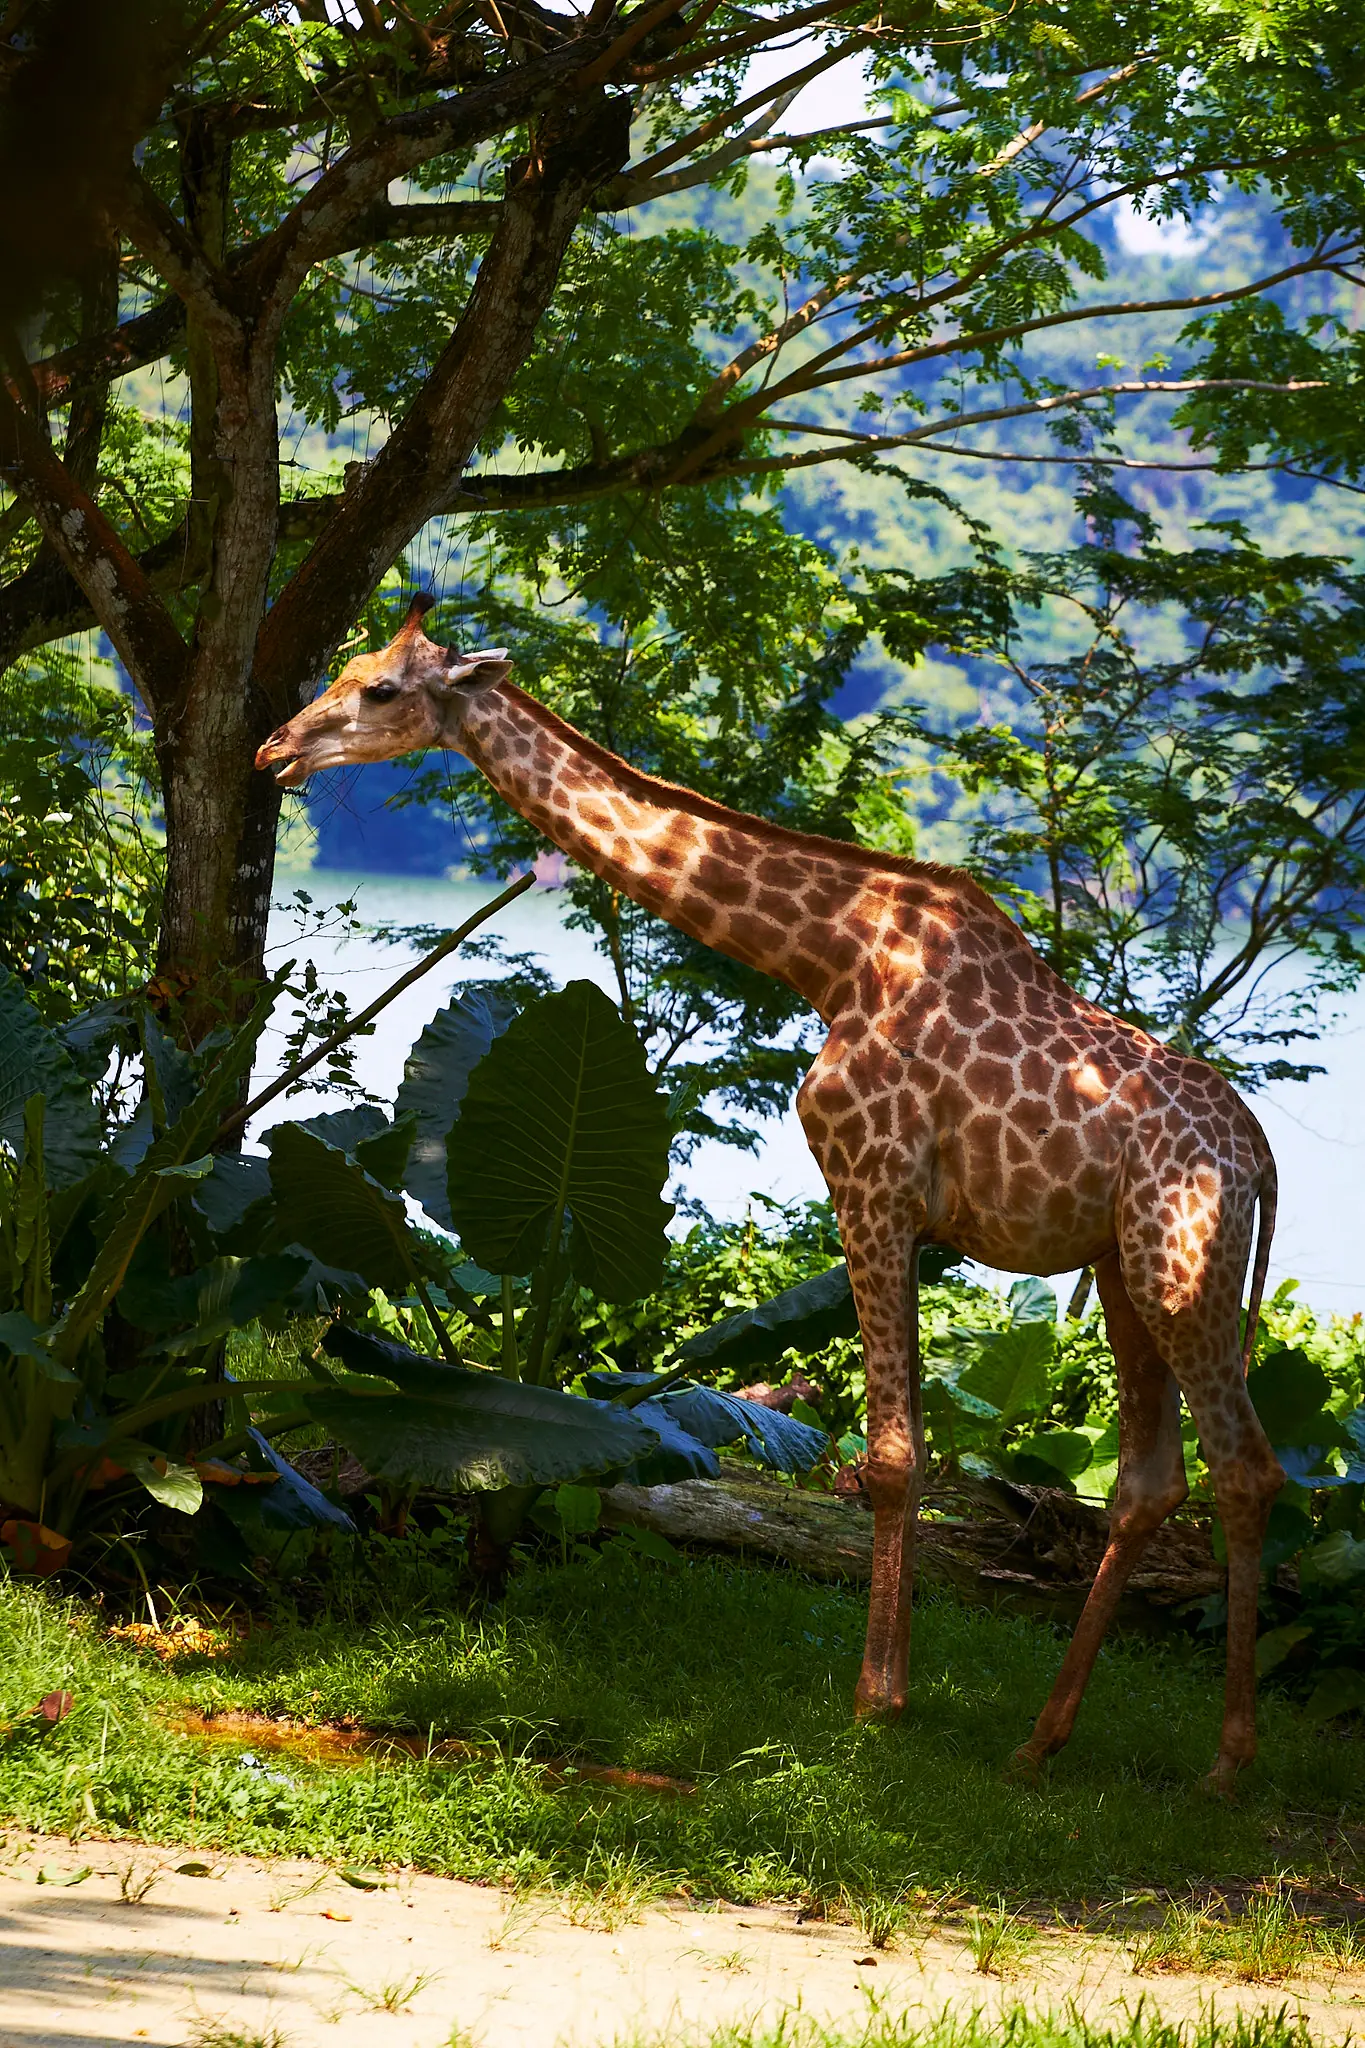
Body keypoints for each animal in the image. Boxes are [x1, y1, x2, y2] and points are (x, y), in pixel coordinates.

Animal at [256, 595, 1284, 1791]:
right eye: (344, 663)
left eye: (378, 688)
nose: (272, 750)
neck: (829, 960)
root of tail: (1258, 1155)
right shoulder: (899, 1203)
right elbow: (902, 1450)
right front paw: (898, 1695)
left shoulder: (874, 1182)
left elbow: (892, 1456)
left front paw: (877, 1703)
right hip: (1125, 1266)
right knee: (1151, 1481)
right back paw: (1040, 1740)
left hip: (1183, 1266)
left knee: (1247, 1468)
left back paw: (1225, 1766)